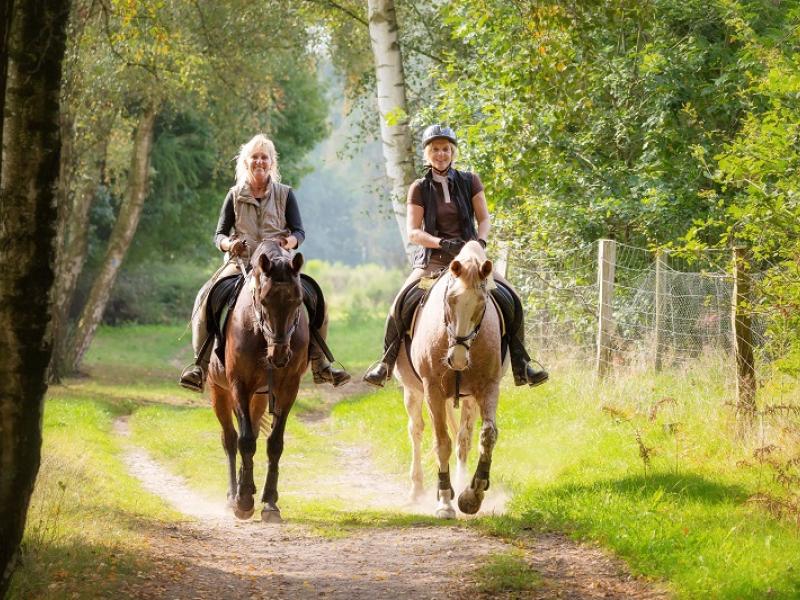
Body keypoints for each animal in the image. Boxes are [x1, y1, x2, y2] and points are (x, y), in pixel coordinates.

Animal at [205, 239, 308, 520]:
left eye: (298, 300)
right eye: (263, 300)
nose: (279, 355)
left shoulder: (288, 388)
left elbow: (274, 443)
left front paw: (269, 502)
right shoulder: (238, 385)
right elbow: (245, 441)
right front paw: (243, 502)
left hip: (259, 398)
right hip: (219, 391)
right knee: (230, 439)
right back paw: (233, 495)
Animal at [396, 241, 506, 516]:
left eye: (482, 304)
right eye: (450, 300)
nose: (457, 359)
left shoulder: (488, 387)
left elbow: (487, 436)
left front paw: (472, 494)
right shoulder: (432, 390)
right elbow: (441, 442)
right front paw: (445, 500)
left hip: (468, 398)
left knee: (464, 440)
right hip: (413, 392)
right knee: (416, 430)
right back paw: (417, 490)